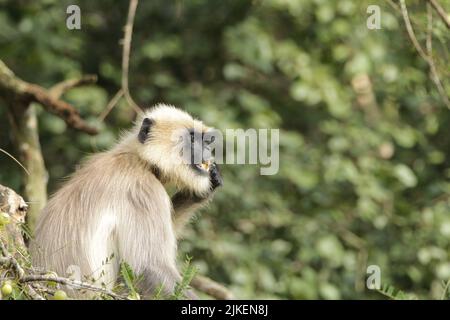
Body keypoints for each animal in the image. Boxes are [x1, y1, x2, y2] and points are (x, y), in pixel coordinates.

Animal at [29, 104, 223, 298]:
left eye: (205, 142)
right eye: (192, 139)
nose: (207, 151)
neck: (139, 159)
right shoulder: (142, 190)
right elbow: (148, 267)